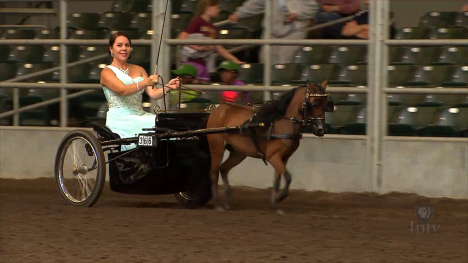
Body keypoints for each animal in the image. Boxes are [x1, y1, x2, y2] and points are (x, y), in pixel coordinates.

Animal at [207, 80, 330, 212]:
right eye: (314, 104)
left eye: (326, 104)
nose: (321, 130)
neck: (284, 123)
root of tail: (216, 110)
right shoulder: (272, 156)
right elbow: (288, 177)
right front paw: (280, 197)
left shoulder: (284, 158)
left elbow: (277, 179)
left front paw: (275, 203)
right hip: (217, 148)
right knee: (213, 173)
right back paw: (218, 205)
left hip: (238, 153)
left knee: (223, 169)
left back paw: (228, 201)